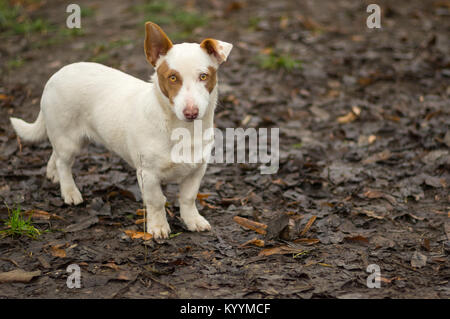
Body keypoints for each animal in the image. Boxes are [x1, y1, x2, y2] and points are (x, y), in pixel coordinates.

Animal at [9, 21, 234, 239]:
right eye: (172, 78)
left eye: (203, 76)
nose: (191, 112)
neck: (182, 129)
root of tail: (56, 74)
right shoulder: (148, 174)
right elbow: (157, 202)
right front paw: (158, 227)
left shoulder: (197, 170)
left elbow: (188, 198)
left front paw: (192, 220)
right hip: (68, 139)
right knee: (63, 163)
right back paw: (69, 191)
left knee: (55, 155)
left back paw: (52, 174)